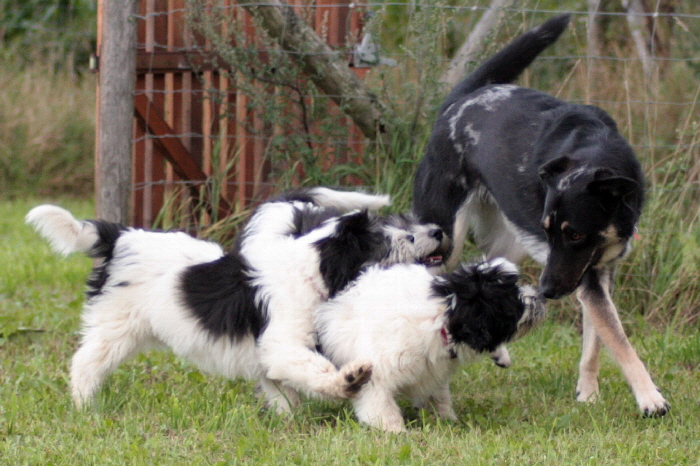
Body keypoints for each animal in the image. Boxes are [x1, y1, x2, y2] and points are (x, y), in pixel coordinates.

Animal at [314, 256, 544, 432]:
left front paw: (445, 418)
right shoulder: (380, 370)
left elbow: (437, 395)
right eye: (512, 298)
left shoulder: (432, 371)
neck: (440, 319)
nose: (539, 297)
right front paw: (394, 430)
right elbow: (381, 403)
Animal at [412, 13, 668, 416]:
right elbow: (620, 341)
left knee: (485, 278)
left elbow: (597, 341)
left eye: (575, 234)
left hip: (510, 245)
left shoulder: (595, 272)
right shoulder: (582, 276)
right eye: (548, 231)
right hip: (443, 240)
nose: (546, 291)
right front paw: (649, 398)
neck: (595, 152)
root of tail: (458, 101)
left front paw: (587, 393)